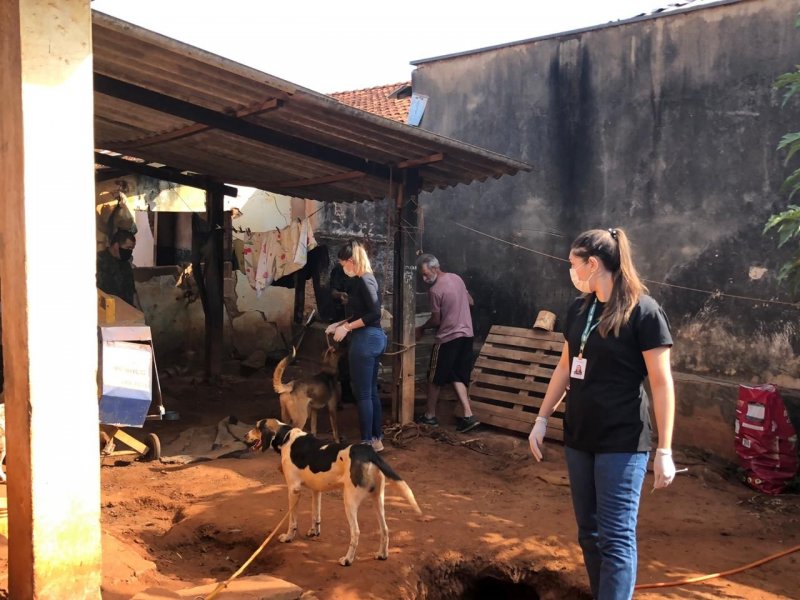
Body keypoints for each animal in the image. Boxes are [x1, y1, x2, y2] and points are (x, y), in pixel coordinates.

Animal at [244, 420, 422, 564]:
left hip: (349, 502)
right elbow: (316, 514)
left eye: (257, 427)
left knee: (356, 532)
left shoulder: (293, 490)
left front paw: (288, 537)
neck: (286, 436)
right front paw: (314, 532)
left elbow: (292, 521)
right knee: (384, 529)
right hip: (378, 500)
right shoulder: (316, 490)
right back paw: (382, 555)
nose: (244, 436)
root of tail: (369, 452)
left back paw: (348, 560)